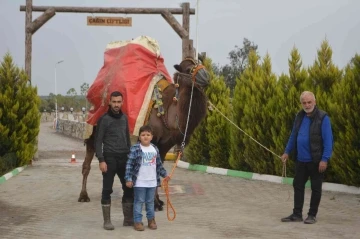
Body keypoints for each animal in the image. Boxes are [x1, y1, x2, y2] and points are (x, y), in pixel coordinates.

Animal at [77, 36, 210, 211]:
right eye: (188, 69)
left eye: (198, 62)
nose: (205, 76)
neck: (168, 110)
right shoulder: (153, 140)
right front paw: (155, 203)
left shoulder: (165, 144)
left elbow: (157, 170)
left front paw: (158, 202)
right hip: (92, 131)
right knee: (87, 164)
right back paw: (83, 196)